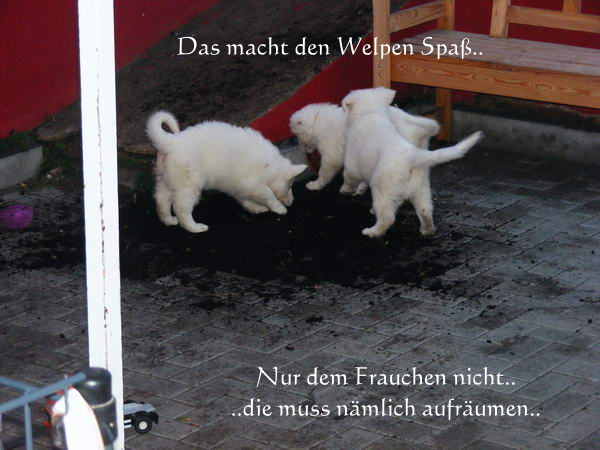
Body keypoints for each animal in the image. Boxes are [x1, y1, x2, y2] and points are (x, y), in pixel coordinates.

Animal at [147, 111, 307, 233]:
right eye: (290, 186)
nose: (292, 202)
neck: (270, 166)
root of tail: (171, 141)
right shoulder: (252, 182)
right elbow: (268, 194)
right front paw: (279, 208)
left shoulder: (237, 184)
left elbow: (243, 197)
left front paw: (255, 207)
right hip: (189, 185)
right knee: (180, 207)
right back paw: (194, 227)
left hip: (166, 179)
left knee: (161, 199)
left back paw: (168, 220)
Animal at [289, 102, 439, 191]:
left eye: (296, 136)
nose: (302, 150)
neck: (317, 121)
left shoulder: (332, 154)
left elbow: (324, 171)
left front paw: (316, 184)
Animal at [341, 87, 483, 238]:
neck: (371, 113)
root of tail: (411, 156)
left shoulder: (351, 163)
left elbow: (349, 177)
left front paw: (345, 189)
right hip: (421, 188)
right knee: (425, 209)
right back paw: (427, 230)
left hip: (383, 188)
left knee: (387, 216)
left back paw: (372, 231)